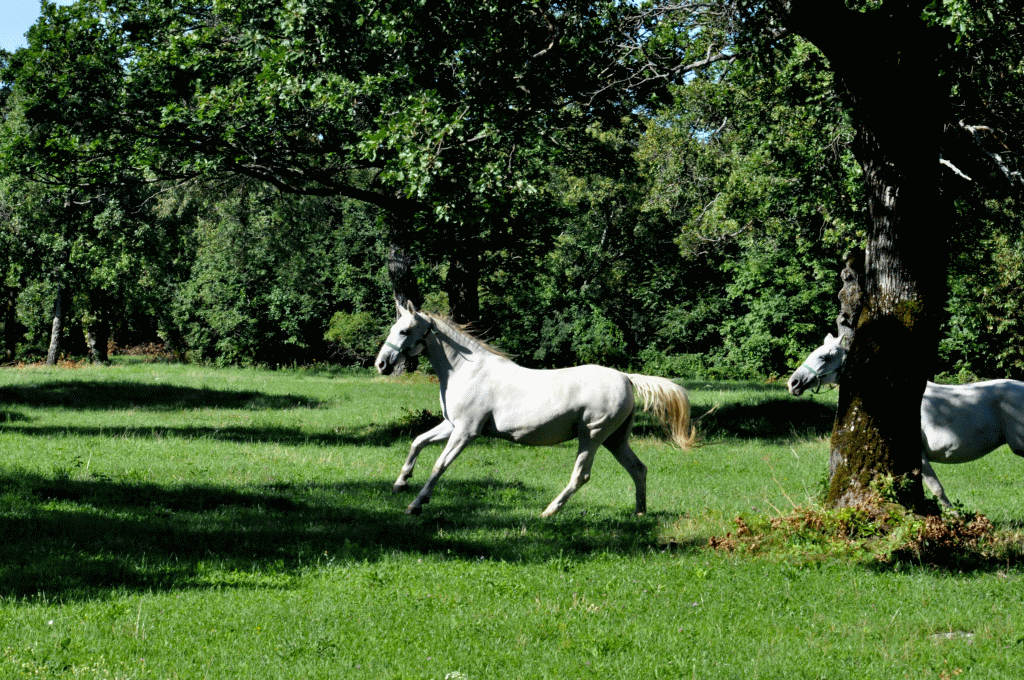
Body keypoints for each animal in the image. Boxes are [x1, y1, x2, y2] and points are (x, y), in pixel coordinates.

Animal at [370, 303, 696, 516]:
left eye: (405, 331)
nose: (381, 364)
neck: (467, 370)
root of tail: (626, 378)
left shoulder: (466, 431)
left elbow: (440, 465)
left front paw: (416, 504)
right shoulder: (452, 425)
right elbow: (417, 442)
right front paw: (401, 483)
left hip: (592, 436)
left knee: (581, 476)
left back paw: (548, 512)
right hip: (615, 440)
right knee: (638, 469)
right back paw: (640, 513)